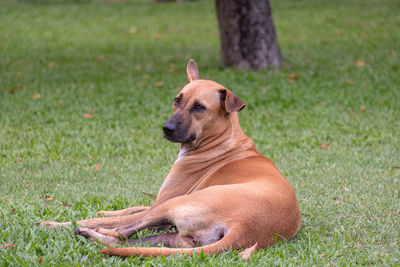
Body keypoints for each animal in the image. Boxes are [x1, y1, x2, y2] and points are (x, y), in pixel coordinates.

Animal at [39, 59, 300, 258]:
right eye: (177, 99)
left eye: (199, 107)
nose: (166, 128)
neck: (223, 142)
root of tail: (246, 228)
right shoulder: (158, 202)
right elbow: (132, 206)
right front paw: (107, 212)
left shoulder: (162, 203)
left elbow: (112, 217)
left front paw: (78, 220)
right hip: (176, 235)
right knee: (126, 240)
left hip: (174, 205)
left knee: (120, 231)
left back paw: (69, 228)